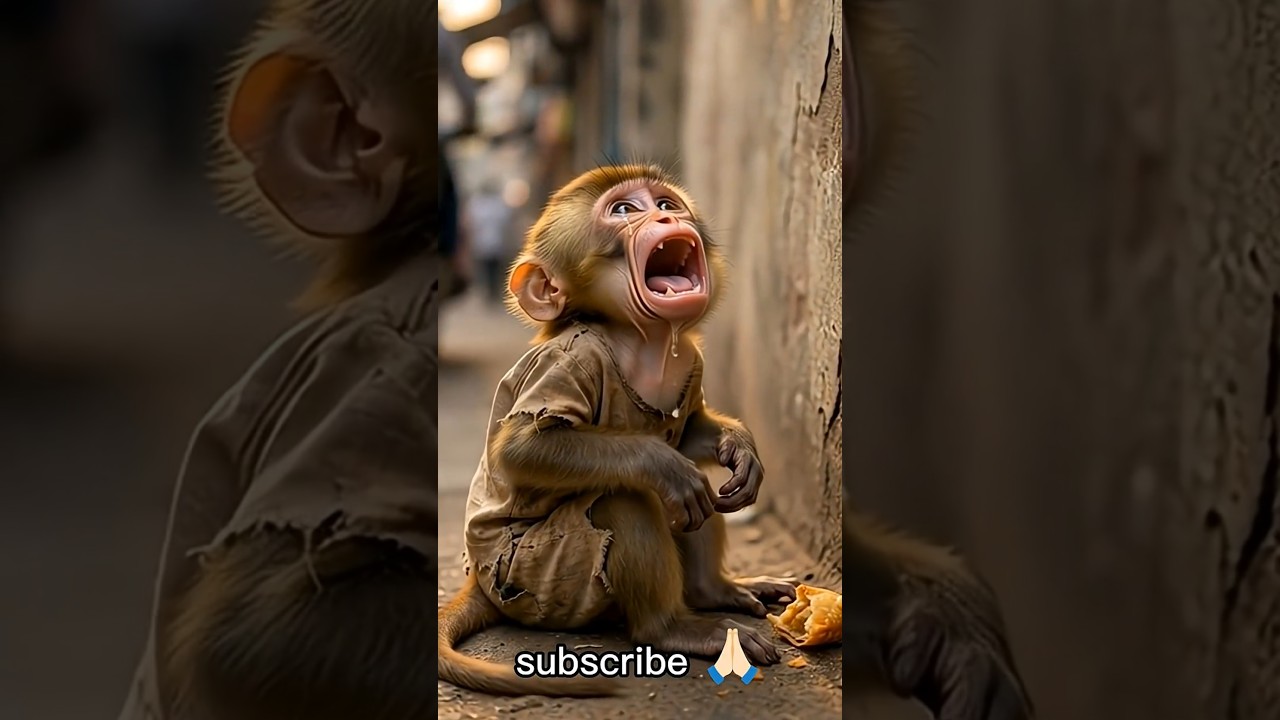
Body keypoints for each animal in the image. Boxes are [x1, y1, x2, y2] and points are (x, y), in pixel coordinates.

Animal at [437, 163, 798, 697]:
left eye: (666, 204)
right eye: (625, 210)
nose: (665, 219)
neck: (644, 342)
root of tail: (480, 580)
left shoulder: (691, 357)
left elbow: (692, 435)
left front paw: (740, 448)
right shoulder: (567, 360)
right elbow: (523, 451)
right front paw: (662, 462)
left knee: (693, 499)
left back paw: (716, 590)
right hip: (533, 574)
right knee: (626, 499)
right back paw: (674, 628)